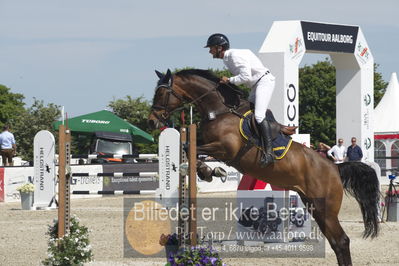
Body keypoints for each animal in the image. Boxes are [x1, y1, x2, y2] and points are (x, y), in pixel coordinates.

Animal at [148, 69, 380, 266]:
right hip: (315, 207)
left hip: (325, 208)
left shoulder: (225, 149)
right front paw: (209, 171)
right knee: (336, 242)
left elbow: (190, 148)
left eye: (161, 93)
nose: (152, 121)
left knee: (341, 241)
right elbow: (188, 148)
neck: (220, 111)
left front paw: (208, 171)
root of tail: (334, 168)